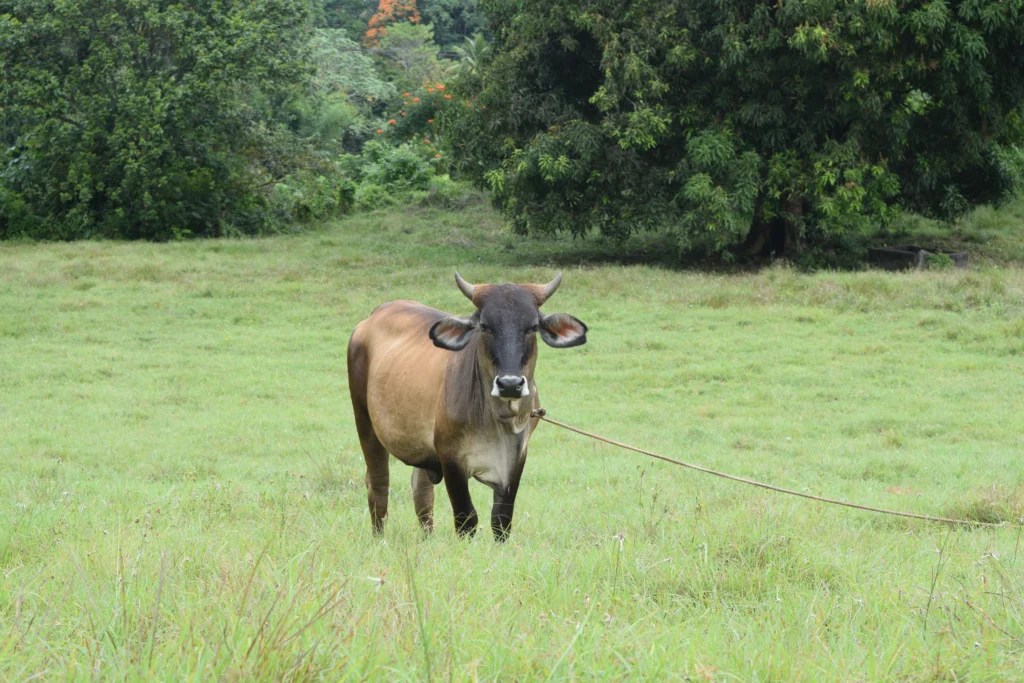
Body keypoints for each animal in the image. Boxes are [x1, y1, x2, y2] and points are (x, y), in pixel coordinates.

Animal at [347, 272, 588, 541]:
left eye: (532, 327)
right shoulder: (451, 458)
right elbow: (466, 518)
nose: (510, 384)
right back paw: (380, 539)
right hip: (365, 423)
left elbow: (501, 520)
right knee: (378, 484)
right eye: (484, 326)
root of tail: (373, 316)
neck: (499, 420)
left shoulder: (516, 458)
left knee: (421, 490)